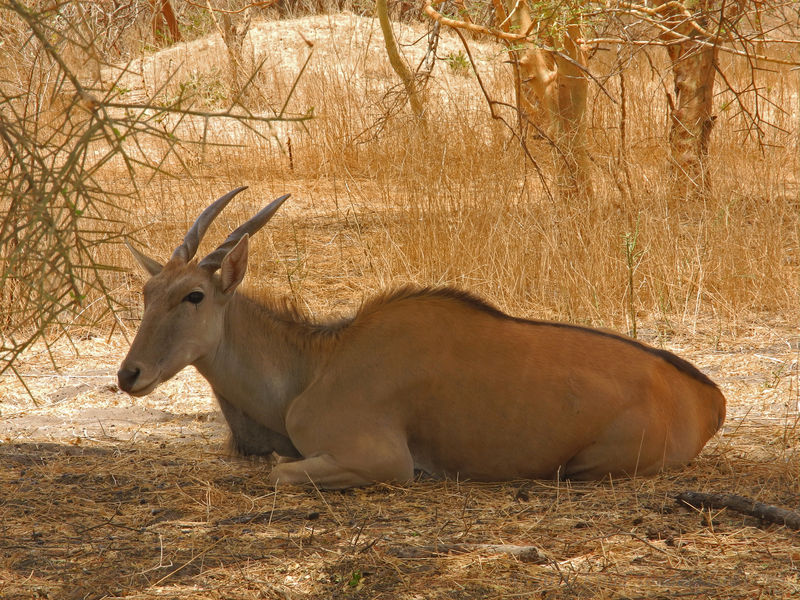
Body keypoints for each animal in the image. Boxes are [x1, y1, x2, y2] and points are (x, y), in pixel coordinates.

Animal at [117, 188, 724, 488]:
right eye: (148, 291)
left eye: (194, 295)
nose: (129, 374)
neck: (316, 363)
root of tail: (708, 397)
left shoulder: (381, 460)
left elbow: (279, 472)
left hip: (587, 466)